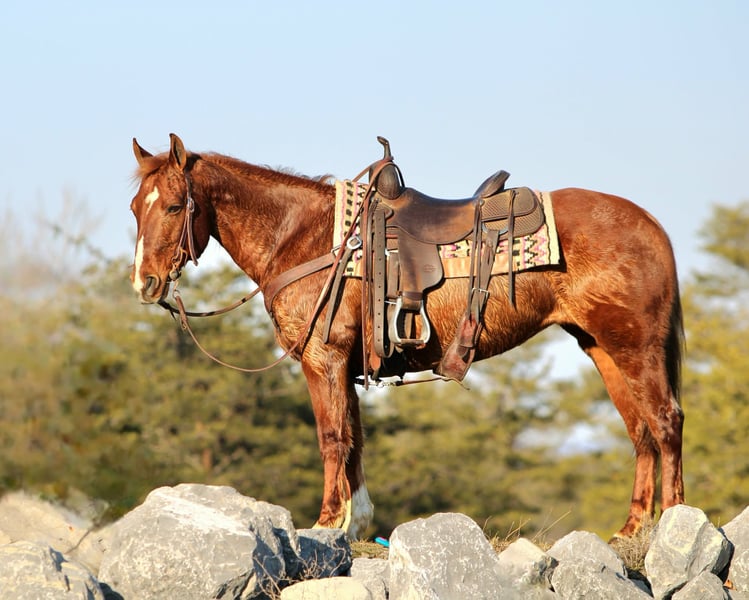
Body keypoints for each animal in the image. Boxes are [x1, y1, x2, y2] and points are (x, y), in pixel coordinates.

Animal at [129, 133, 684, 540]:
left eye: (176, 206)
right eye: (136, 206)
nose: (144, 283)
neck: (305, 237)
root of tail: (651, 224)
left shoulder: (323, 358)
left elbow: (332, 437)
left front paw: (326, 522)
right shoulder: (346, 367)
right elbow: (354, 440)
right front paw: (355, 524)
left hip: (633, 346)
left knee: (665, 420)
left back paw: (677, 520)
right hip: (601, 347)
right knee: (639, 431)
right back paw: (631, 529)